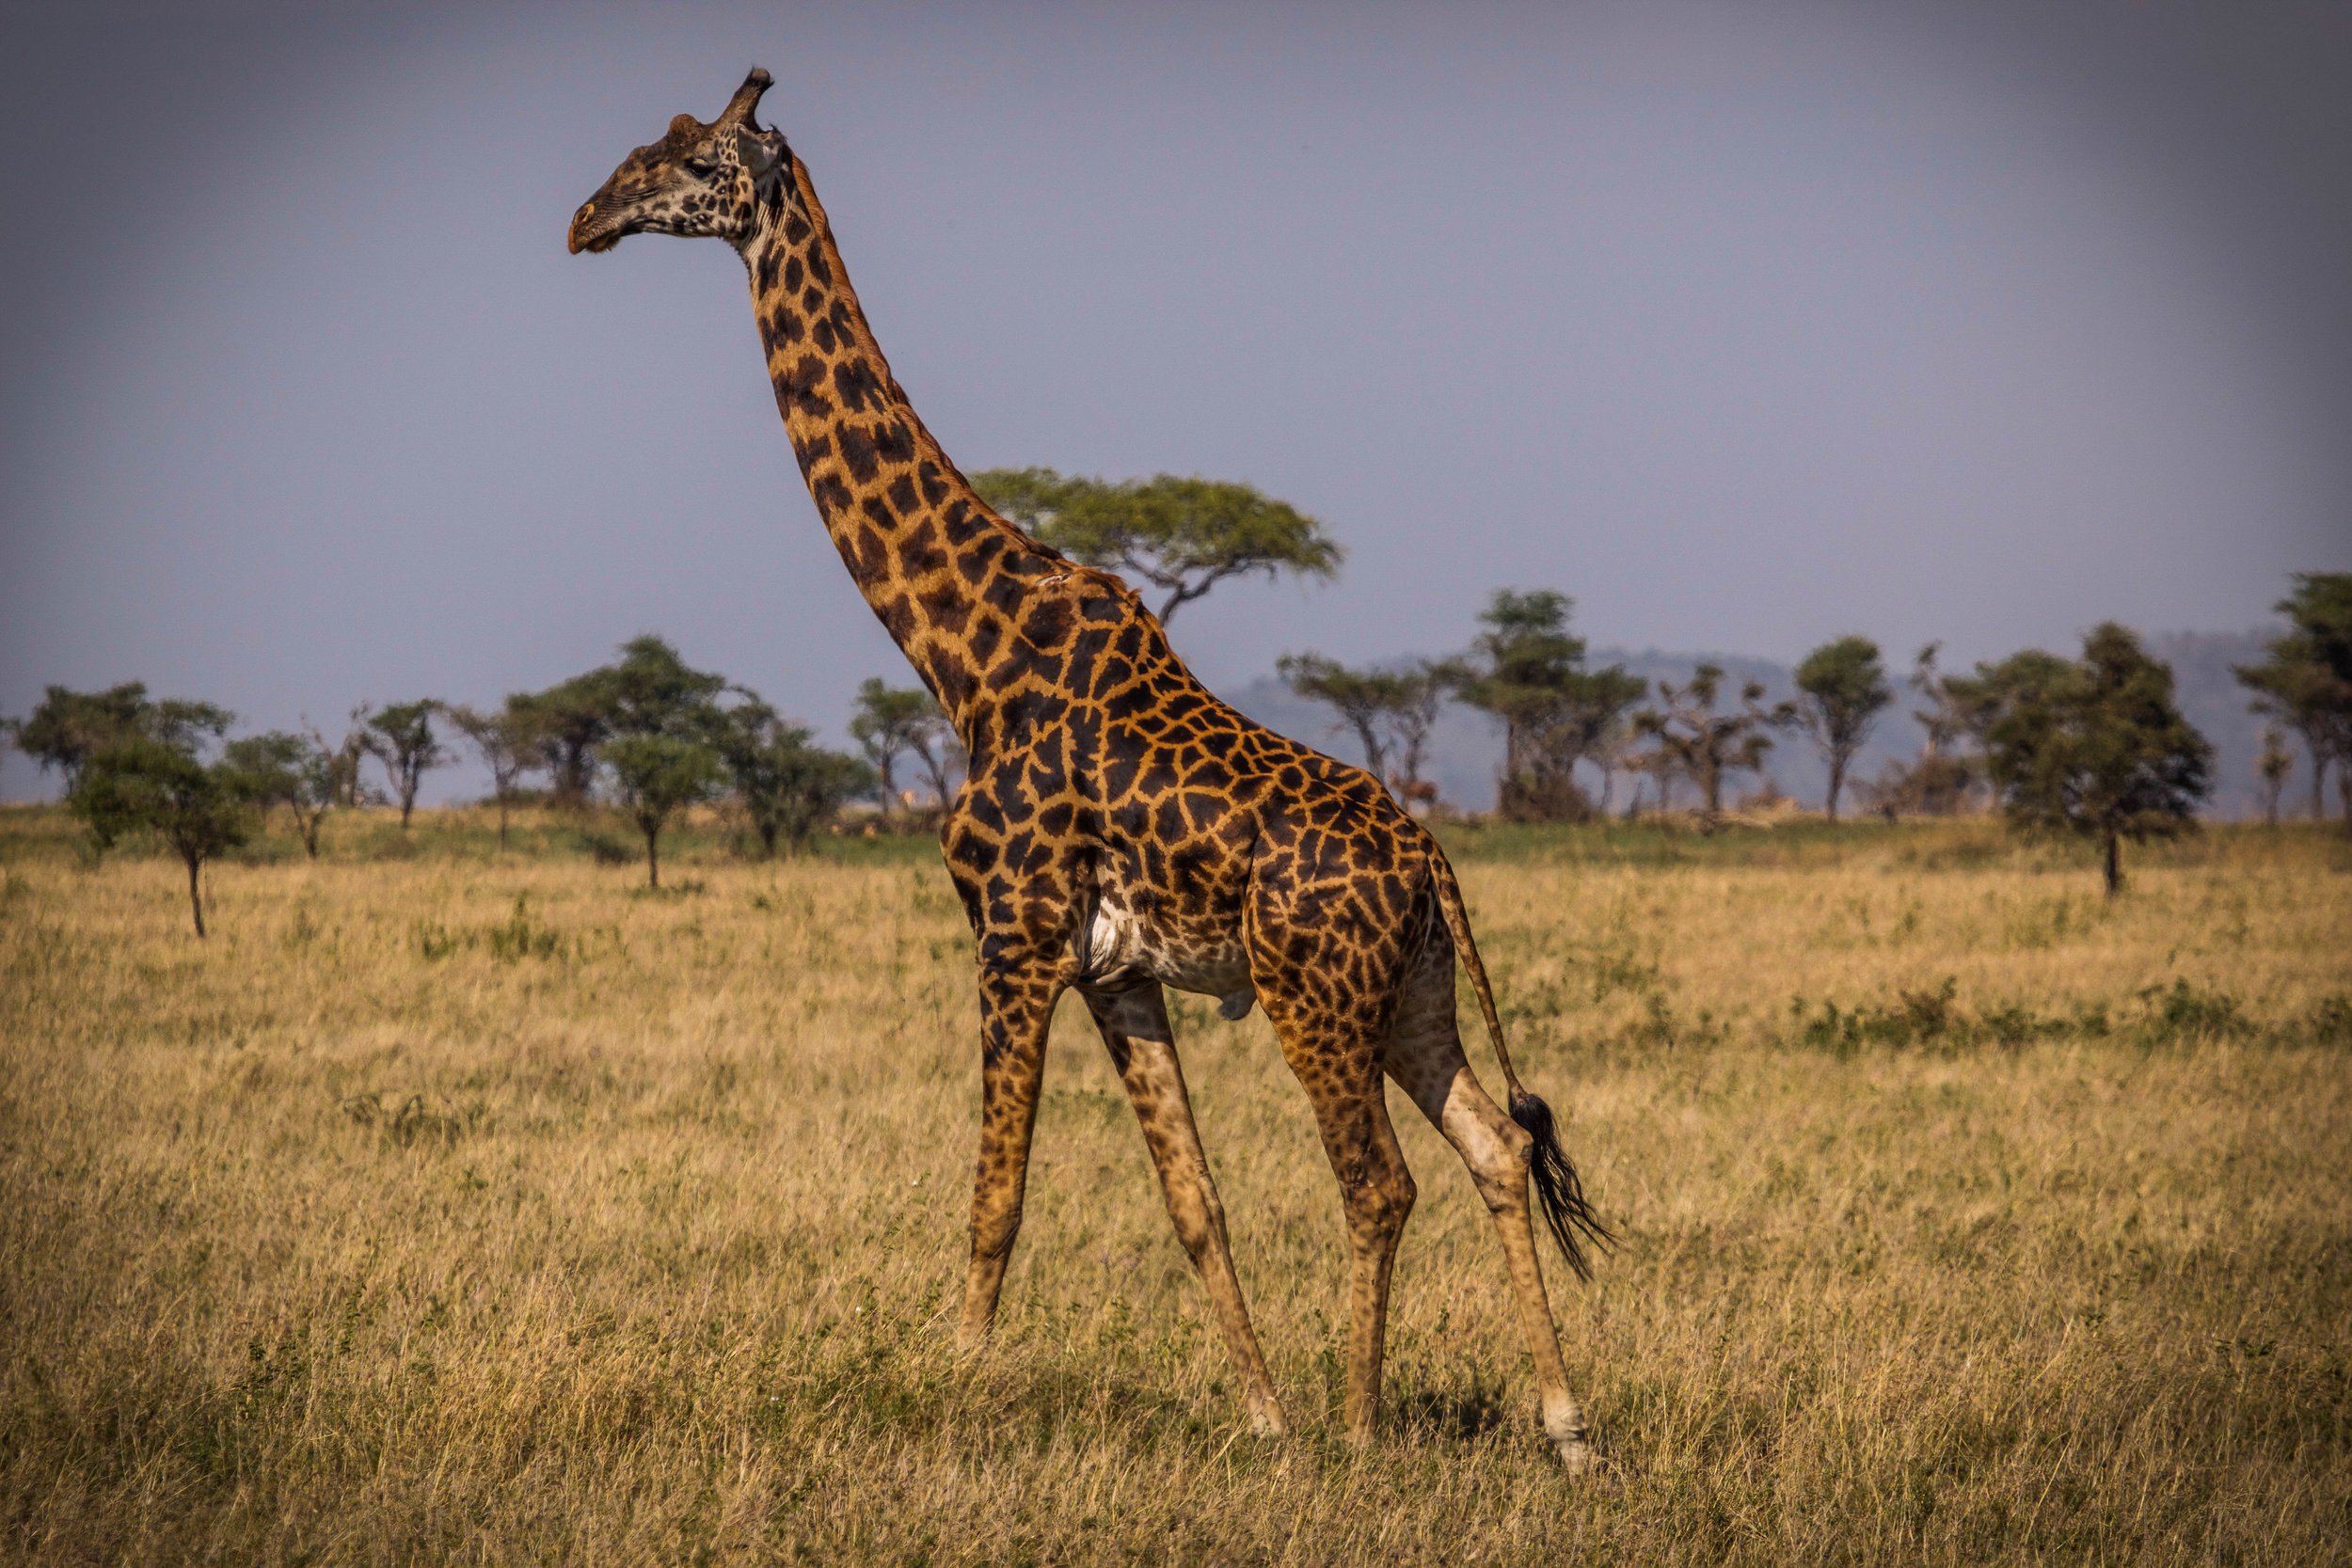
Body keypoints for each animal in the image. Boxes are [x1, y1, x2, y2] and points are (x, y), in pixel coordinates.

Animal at [569, 68, 1612, 1469]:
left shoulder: (1010, 932)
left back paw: (1363, 1428)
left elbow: (995, 1196)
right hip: (1414, 996)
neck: (962, 652)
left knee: (1378, 1181)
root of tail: (1432, 858)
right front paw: (1262, 1418)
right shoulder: (1116, 970)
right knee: (1495, 1150)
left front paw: (945, 1387)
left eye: (689, 159)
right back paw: (1561, 1423)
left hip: (1316, 996)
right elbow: (1193, 1203)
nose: (585, 219)